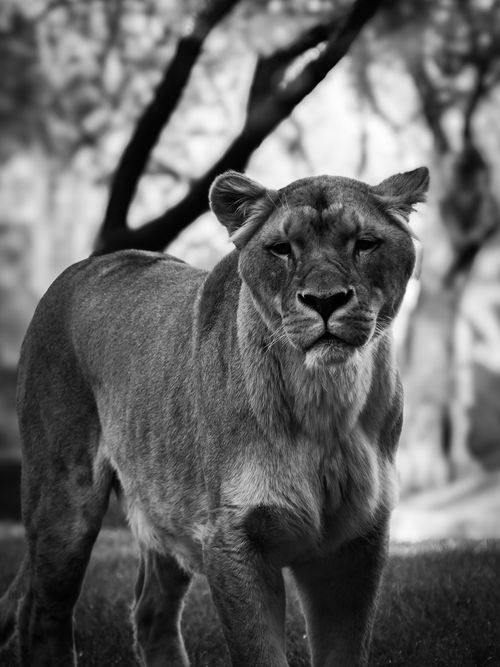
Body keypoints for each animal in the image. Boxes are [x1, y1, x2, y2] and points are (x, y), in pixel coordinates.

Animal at [0, 167, 429, 666]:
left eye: (365, 243)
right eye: (281, 248)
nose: (325, 301)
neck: (325, 402)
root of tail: (78, 268)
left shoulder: (354, 546)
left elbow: (344, 651)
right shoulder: (230, 539)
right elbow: (259, 653)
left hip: (164, 504)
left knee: (151, 611)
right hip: (64, 501)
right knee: (41, 612)